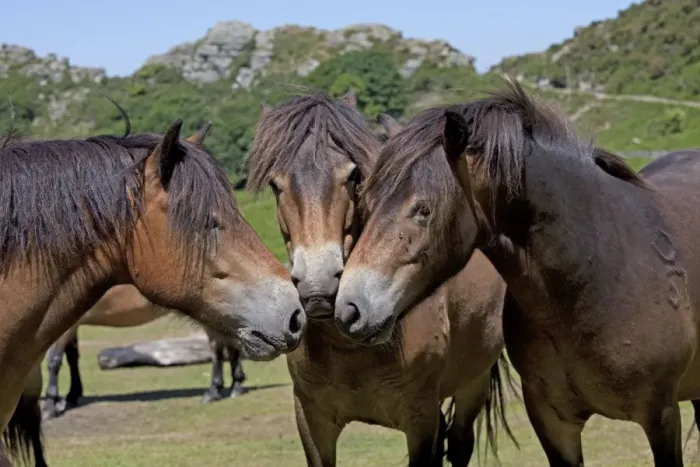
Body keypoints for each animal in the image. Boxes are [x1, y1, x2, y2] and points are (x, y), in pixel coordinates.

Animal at [0, 117, 305, 464]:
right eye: (207, 222)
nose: (295, 314)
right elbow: (65, 359)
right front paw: (67, 397)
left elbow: (57, 361)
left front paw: (57, 401)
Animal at [246, 91, 517, 466]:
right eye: (276, 185)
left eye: (354, 176)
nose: (318, 287)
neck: (352, 346)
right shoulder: (312, 420)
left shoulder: (420, 419)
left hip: (472, 383)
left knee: (460, 443)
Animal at [334, 76, 700, 466]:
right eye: (367, 201)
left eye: (422, 209)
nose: (349, 308)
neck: (601, 272)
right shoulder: (553, 420)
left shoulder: (661, 416)